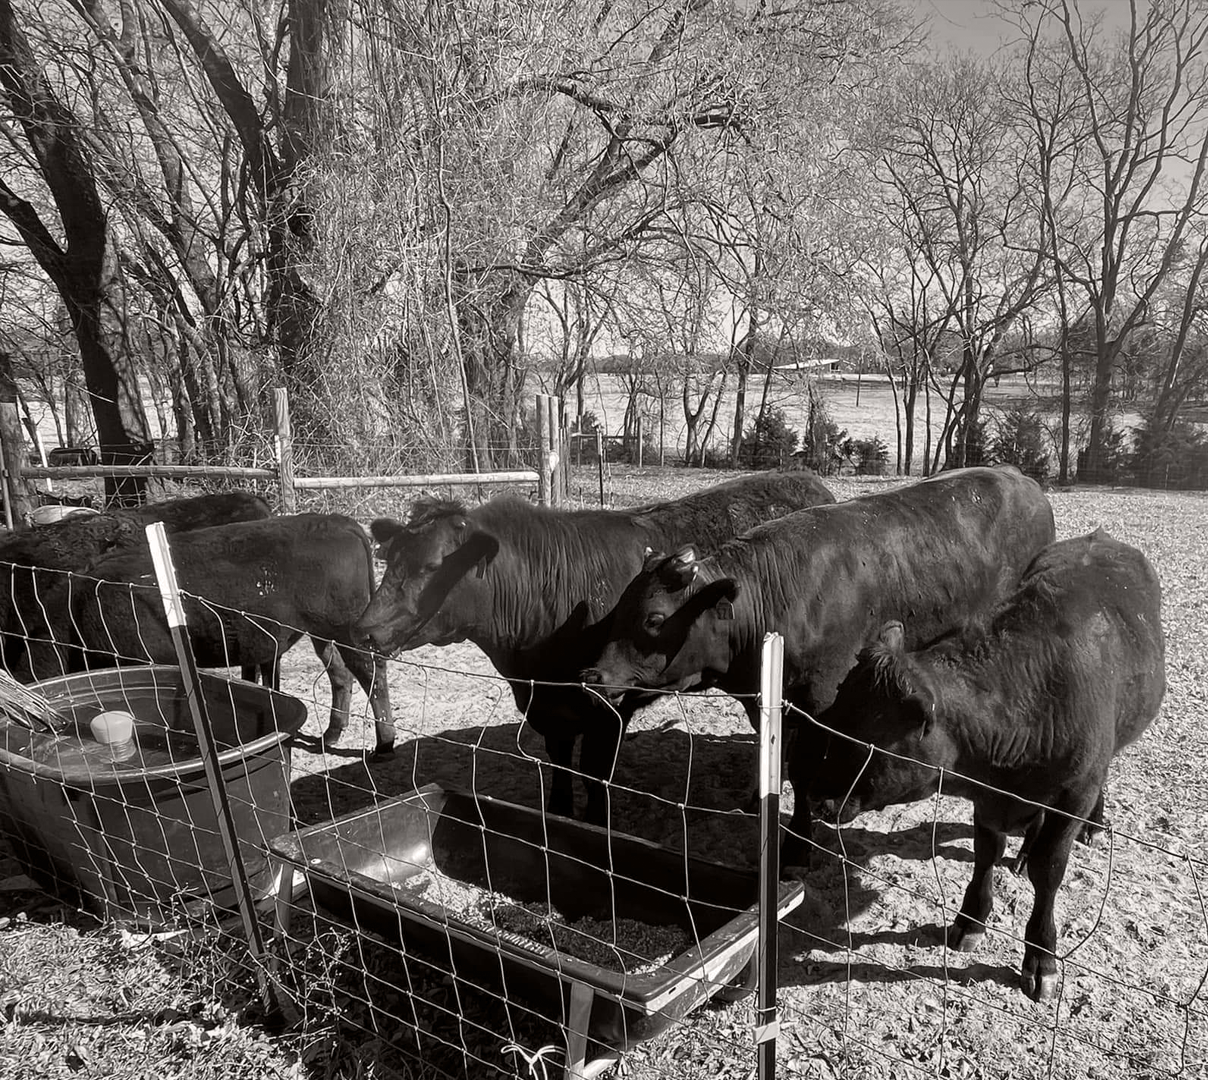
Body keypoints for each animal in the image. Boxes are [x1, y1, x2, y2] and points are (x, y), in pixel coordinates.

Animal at [23, 513, 395, 756]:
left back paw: (384, 743)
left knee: (371, 673)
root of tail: (339, 521)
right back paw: (331, 735)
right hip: (321, 632)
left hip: (345, 628)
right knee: (340, 674)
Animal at [354, 470, 837, 823]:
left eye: (433, 565)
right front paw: (562, 818)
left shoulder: (607, 707)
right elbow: (561, 773)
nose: (366, 629)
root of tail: (807, 481)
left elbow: (594, 778)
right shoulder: (550, 710)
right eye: (388, 556)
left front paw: (598, 828)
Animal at [580, 466, 1057, 866]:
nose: (593, 675)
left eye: (654, 619)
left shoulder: (820, 704)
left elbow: (804, 773)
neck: (780, 597)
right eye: (620, 608)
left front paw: (796, 845)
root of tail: (1021, 480)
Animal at [808, 530, 1165, 1000]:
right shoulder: (988, 796)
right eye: (833, 717)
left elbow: (1049, 871)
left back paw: (1092, 826)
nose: (816, 799)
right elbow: (986, 853)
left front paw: (1042, 956)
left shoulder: (1074, 792)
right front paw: (970, 919)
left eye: (867, 741)